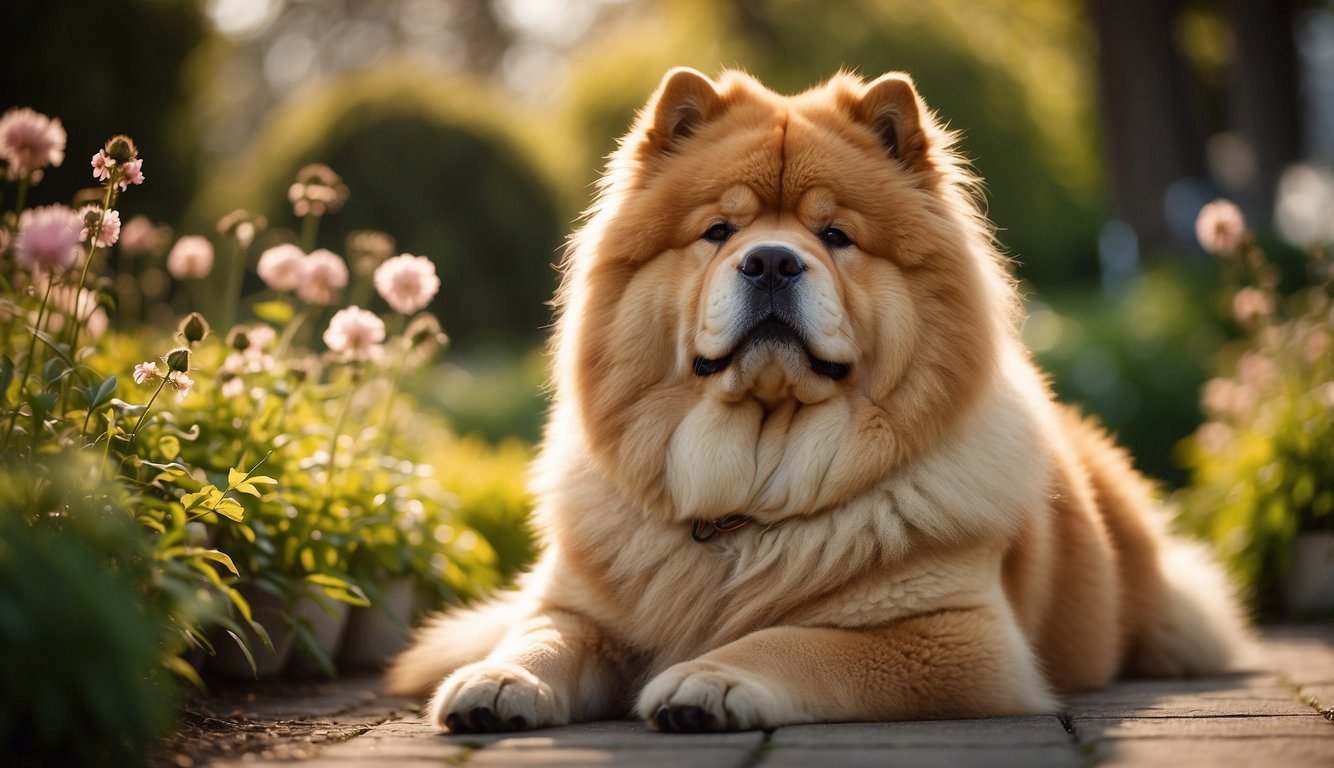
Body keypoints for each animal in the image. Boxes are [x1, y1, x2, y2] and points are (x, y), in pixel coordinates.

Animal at [384, 67, 1237, 730]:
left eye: (834, 236)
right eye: (718, 230)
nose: (769, 260)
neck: (746, 508)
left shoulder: (956, 637)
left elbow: (798, 640)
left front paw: (709, 679)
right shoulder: (578, 607)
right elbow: (542, 635)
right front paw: (499, 680)